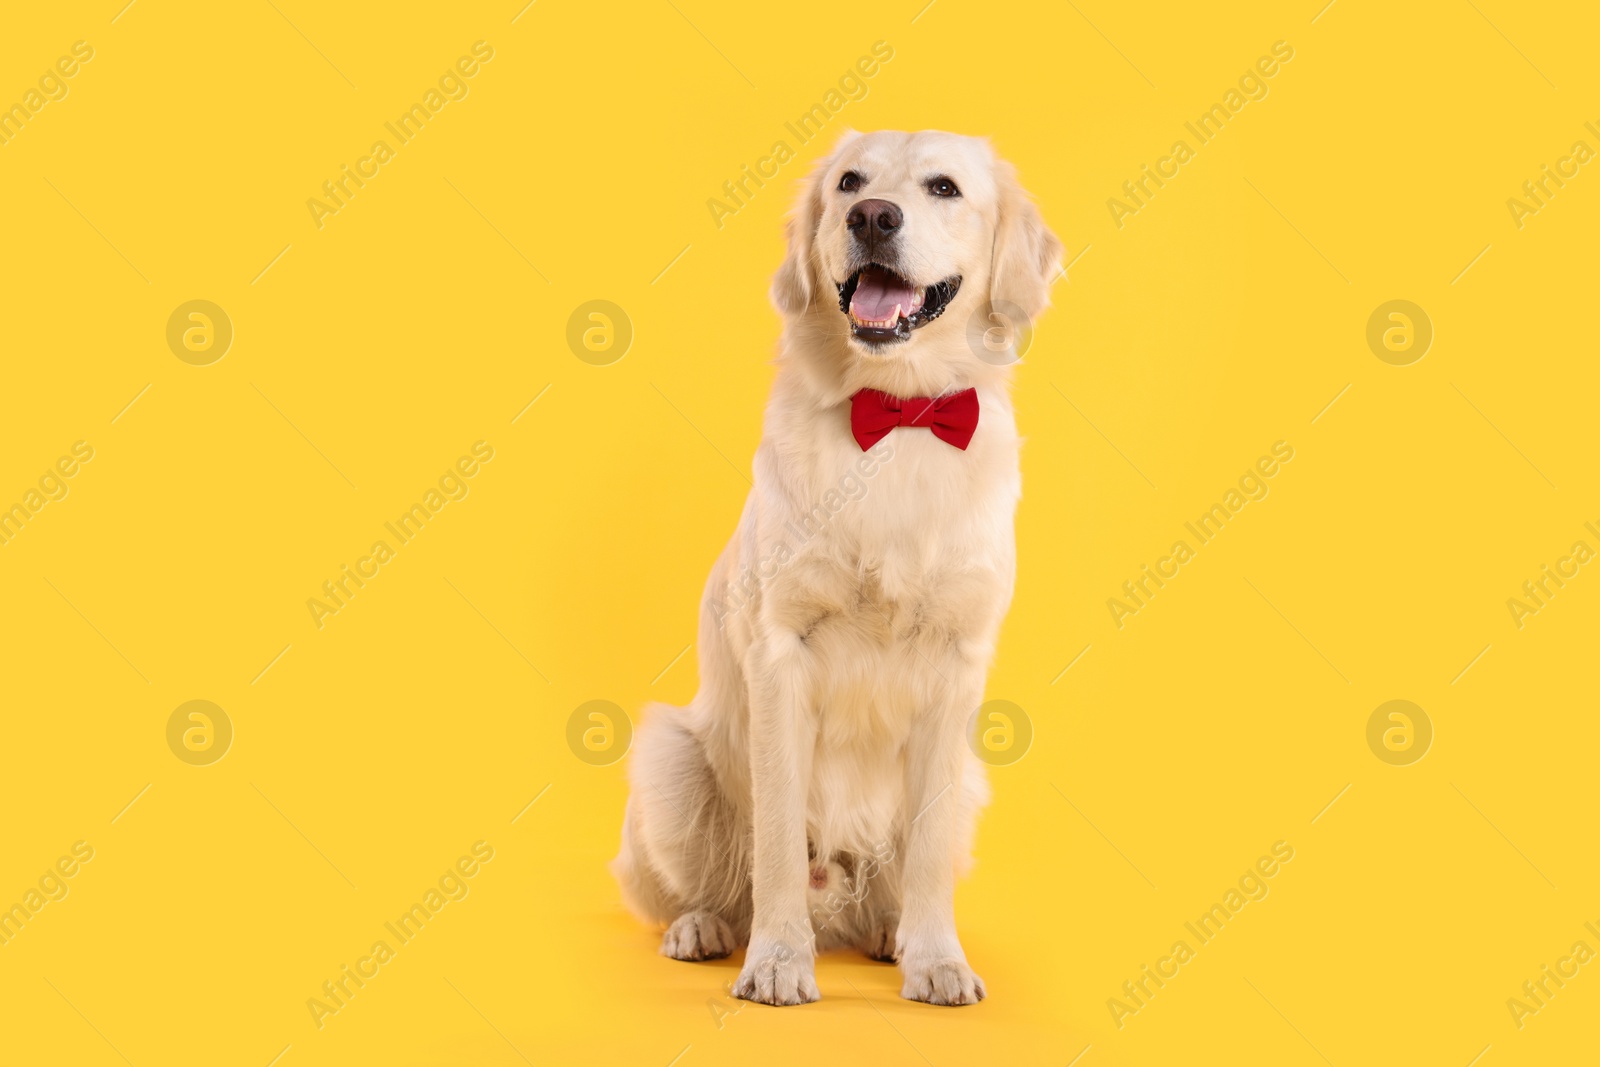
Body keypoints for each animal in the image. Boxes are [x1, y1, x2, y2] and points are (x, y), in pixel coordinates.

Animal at [614, 129, 1062, 1004]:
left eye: (944, 187)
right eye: (851, 182)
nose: (873, 216)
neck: (898, 416)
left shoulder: (958, 664)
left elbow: (927, 847)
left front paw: (936, 957)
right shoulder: (780, 650)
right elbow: (781, 840)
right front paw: (777, 959)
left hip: (969, 780)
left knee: (888, 881)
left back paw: (890, 930)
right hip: (669, 758)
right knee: (710, 888)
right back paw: (706, 928)